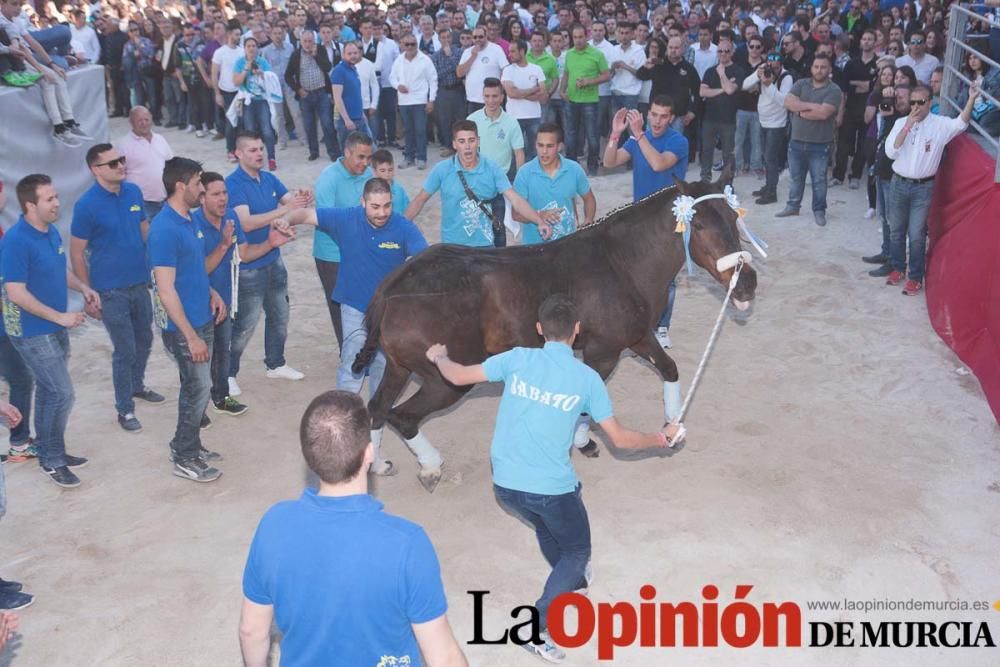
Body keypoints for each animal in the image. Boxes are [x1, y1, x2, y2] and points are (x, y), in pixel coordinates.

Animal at [354, 171, 756, 490]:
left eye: (733, 217)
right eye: (699, 225)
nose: (747, 283)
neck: (620, 263)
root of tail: (395, 285)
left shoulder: (637, 337)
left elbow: (669, 369)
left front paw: (672, 423)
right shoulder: (603, 352)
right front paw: (584, 442)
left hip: (399, 367)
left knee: (377, 408)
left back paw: (377, 463)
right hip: (445, 381)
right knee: (401, 416)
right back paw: (431, 467)